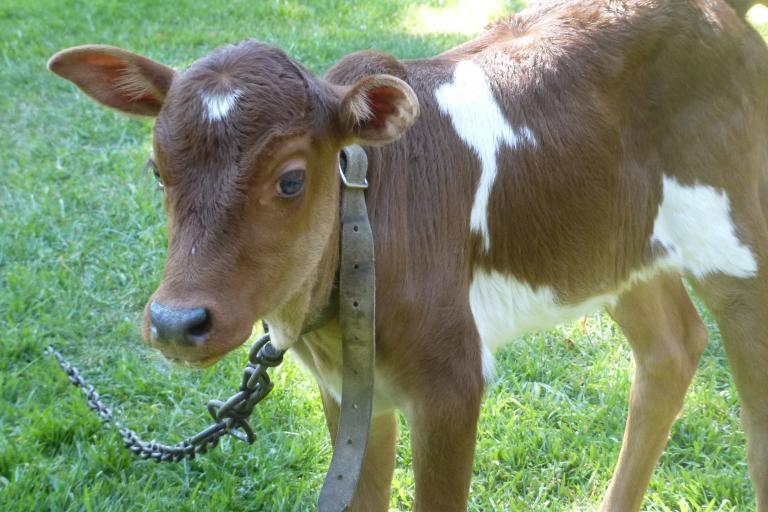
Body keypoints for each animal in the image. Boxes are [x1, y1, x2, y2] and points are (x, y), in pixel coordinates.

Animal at [49, 0, 768, 510]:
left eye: (291, 179)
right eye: (157, 170)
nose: (176, 322)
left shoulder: (451, 378)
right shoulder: (349, 394)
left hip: (736, 239)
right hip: (608, 251)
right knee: (671, 347)